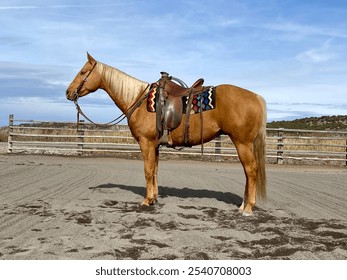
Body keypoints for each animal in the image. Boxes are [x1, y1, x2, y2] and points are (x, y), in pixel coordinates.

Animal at [66, 52, 266, 215]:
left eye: (83, 72)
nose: (68, 92)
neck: (138, 100)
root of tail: (256, 97)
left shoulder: (145, 143)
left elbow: (147, 171)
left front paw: (146, 201)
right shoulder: (154, 145)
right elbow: (154, 170)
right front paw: (154, 198)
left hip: (242, 143)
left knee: (251, 170)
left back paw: (248, 208)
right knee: (248, 172)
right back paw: (243, 205)